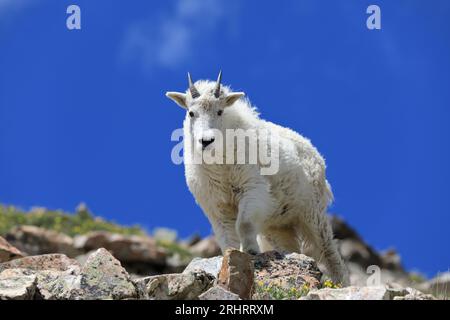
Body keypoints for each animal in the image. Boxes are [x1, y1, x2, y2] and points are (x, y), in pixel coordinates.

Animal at [167, 71, 350, 284]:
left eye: (220, 111)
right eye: (191, 113)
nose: (206, 141)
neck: (220, 164)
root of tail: (315, 152)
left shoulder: (253, 188)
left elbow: (244, 224)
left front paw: (251, 250)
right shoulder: (216, 205)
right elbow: (227, 238)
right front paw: (231, 257)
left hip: (312, 212)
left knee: (329, 251)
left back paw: (340, 282)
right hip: (277, 226)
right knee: (290, 246)